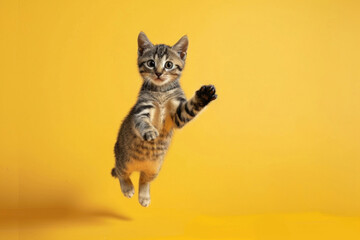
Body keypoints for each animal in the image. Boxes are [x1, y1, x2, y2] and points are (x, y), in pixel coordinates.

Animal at [111, 32, 217, 207]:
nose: (159, 73)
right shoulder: (142, 109)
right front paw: (149, 131)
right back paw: (127, 188)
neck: (161, 91)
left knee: (144, 179)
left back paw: (144, 196)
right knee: (121, 173)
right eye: (151, 63)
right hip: (123, 160)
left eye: (169, 65)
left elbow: (190, 107)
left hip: (154, 169)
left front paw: (204, 95)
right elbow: (141, 121)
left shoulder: (178, 114)